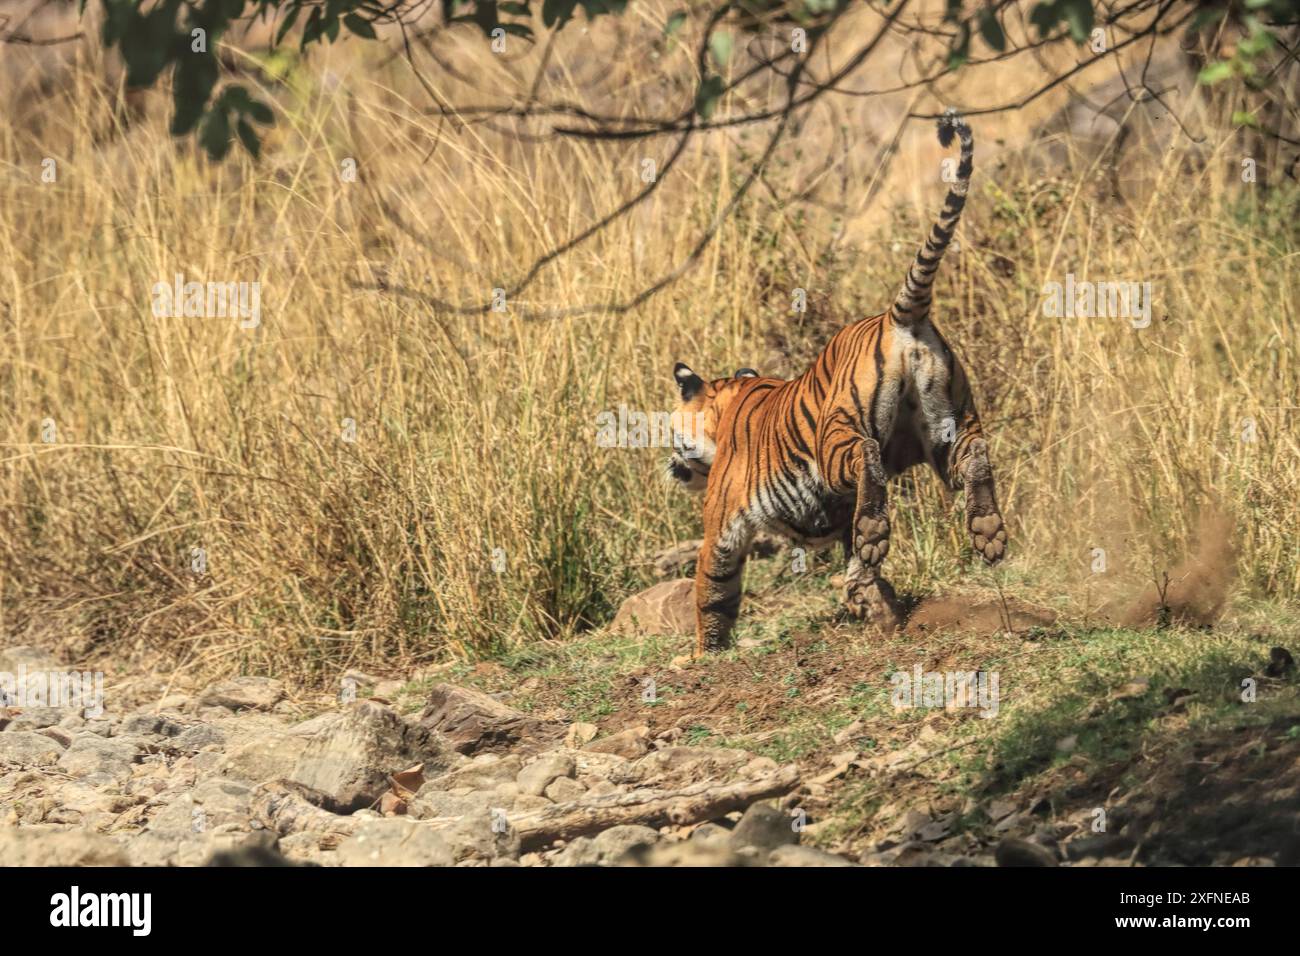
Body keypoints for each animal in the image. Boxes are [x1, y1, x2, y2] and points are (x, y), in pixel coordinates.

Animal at [665, 108, 1008, 655]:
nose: (672, 466)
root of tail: (898, 316)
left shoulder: (721, 524)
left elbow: (712, 593)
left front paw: (701, 656)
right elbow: (857, 566)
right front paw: (876, 605)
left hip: (837, 440)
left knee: (866, 458)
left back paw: (884, 531)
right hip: (948, 430)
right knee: (974, 456)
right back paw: (987, 532)